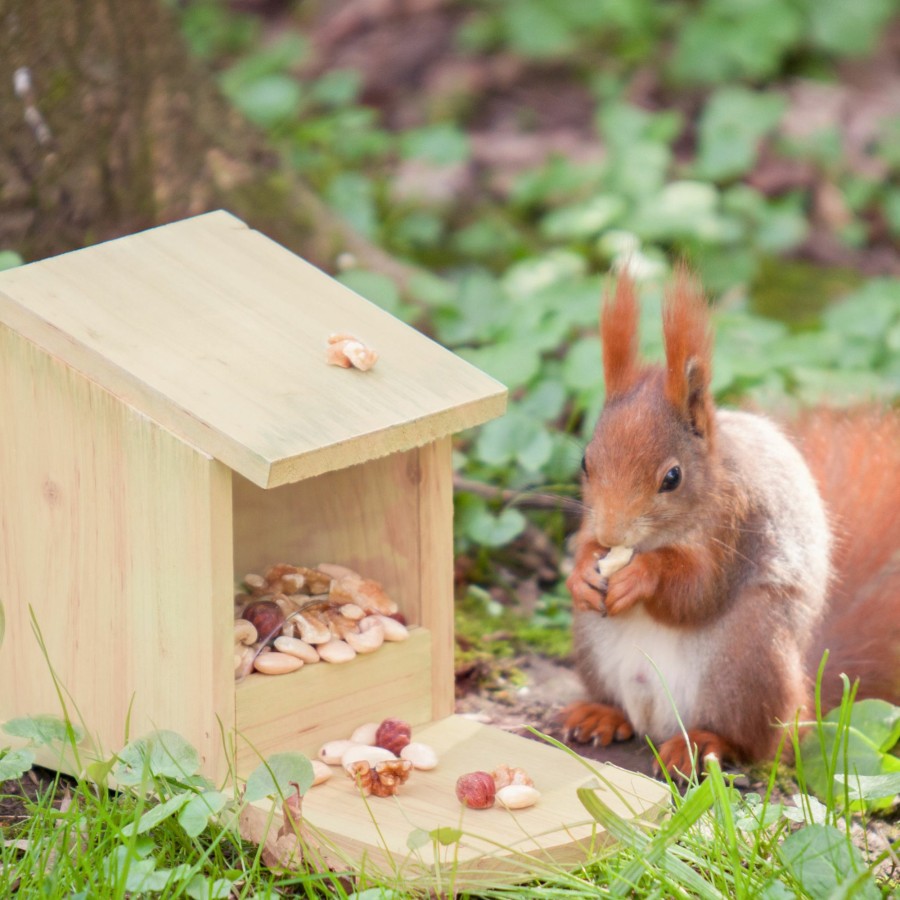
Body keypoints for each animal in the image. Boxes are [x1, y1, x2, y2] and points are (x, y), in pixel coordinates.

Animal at [564, 268, 900, 772]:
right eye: (585, 462)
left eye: (672, 477)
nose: (612, 533)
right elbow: (584, 544)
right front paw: (583, 571)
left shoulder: (735, 522)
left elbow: (697, 590)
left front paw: (643, 574)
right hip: (592, 641)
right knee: (621, 707)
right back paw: (600, 714)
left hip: (748, 659)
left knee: (752, 743)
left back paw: (701, 743)